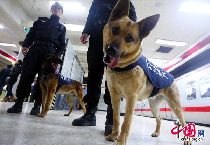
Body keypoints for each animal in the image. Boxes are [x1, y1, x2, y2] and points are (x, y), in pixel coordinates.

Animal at [102, 0, 189, 145]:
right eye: (114, 30)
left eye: (130, 38)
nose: (111, 50)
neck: (123, 67)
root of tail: (171, 76)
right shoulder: (114, 96)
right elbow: (116, 118)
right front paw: (114, 135)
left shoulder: (131, 98)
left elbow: (126, 122)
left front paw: (120, 141)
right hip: (153, 105)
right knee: (159, 118)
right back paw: (157, 133)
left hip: (175, 106)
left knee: (183, 122)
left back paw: (187, 140)